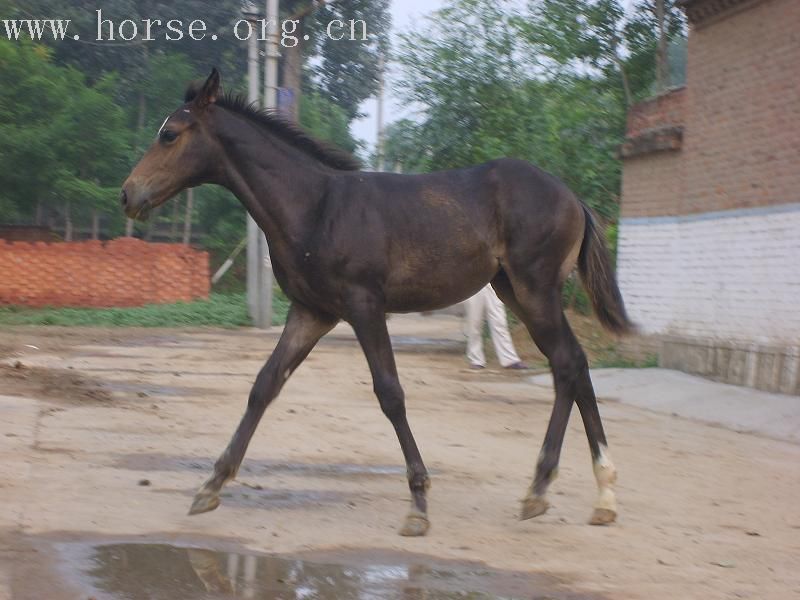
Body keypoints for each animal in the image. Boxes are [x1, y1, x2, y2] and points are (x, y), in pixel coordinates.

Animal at [120, 68, 632, 536]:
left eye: (169, 134)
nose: (128, 194)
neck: (315, 206)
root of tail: (573, 197)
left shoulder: (364, 305)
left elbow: (390, 393)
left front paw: (418, 503)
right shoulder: (312, 312)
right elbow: (264, 385)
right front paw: (210, 486)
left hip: (534, 289)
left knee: (567, 363)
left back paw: (543, 489)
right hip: (514, 290)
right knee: (574, 364)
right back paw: (600, 496)